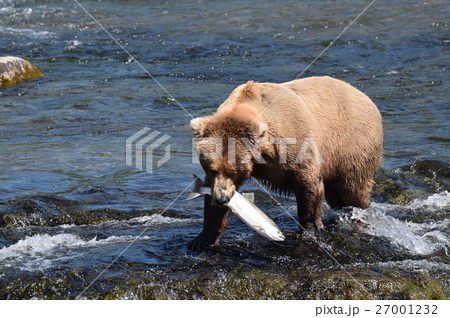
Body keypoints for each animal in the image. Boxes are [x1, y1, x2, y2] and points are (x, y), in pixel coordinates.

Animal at [189, 76, 384, 250]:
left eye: (233, 171)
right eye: (212, 170)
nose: (222, 199)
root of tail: (365, 97)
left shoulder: (295, 142)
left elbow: (308, 184)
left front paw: (304, 231)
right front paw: (202, 239)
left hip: (352, 143)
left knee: (352, 188)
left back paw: (357, 217)